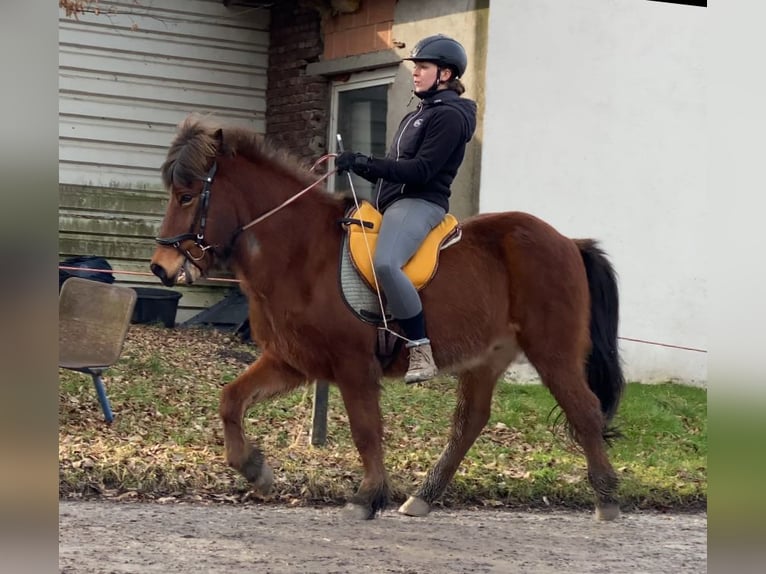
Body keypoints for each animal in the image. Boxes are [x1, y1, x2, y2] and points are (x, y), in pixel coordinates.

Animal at [152, 115, 632, 524]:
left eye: (187, 196)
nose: (160, 267)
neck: (301, 252)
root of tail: (569, 241)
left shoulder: (353, 365)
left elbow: (366, 430)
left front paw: (367, 497)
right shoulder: (290, 361)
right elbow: (230, 400)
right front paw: (254, 468)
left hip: (552, 351)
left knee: (585, 410)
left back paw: (607, 499)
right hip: (487, 357)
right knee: (470, 422)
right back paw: (423, 496)